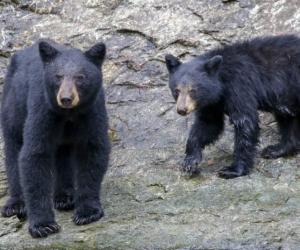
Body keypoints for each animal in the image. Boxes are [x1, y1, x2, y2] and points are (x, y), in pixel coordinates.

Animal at [0, 40, 110, 237]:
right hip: (13, 104)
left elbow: (93, 151)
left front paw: (87, 213)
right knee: (13, 147)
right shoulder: (42, 109)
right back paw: (16, 204)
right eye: (58, 76)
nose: (66, 98)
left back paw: (65, 197)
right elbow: (34, 155)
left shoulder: (92, 110)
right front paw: (43, 225)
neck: (69, 114)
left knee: (62, 154)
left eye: (80, 77)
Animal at [165, 34, 300, 180]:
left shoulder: (239, 85)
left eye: (193, 90)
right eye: (176, 90)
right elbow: (209, 124)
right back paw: (276, 149)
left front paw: (233, 169)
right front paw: (190, 161)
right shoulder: (212, 102)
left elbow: (245, 121)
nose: (182, 110)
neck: (221, 81)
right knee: (288, 119)